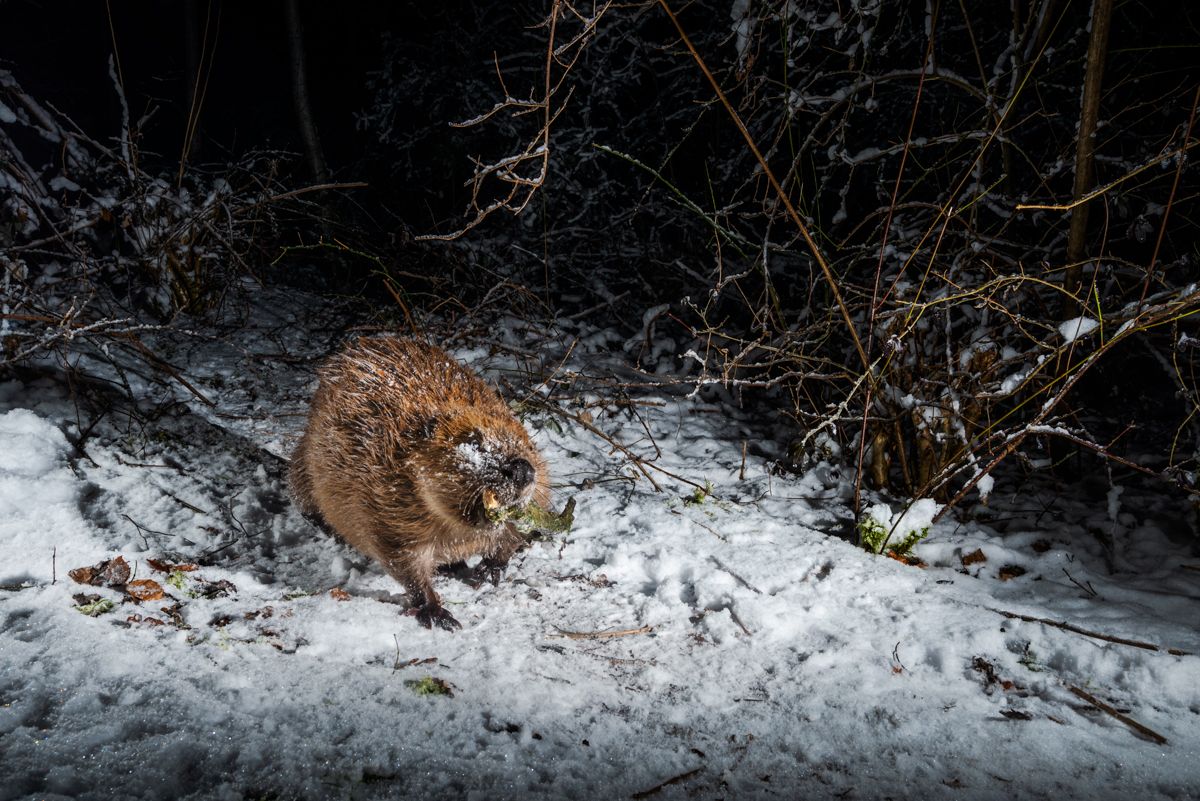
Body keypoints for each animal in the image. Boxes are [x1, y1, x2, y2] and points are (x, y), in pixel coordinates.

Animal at [288, 335, 549, 628]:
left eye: (528, 445)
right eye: (474, 442)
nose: (521, 470)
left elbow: (511, 535)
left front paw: (488, 570)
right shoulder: (384, 507)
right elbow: (405, 564)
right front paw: (439, 614)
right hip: (306, 458)